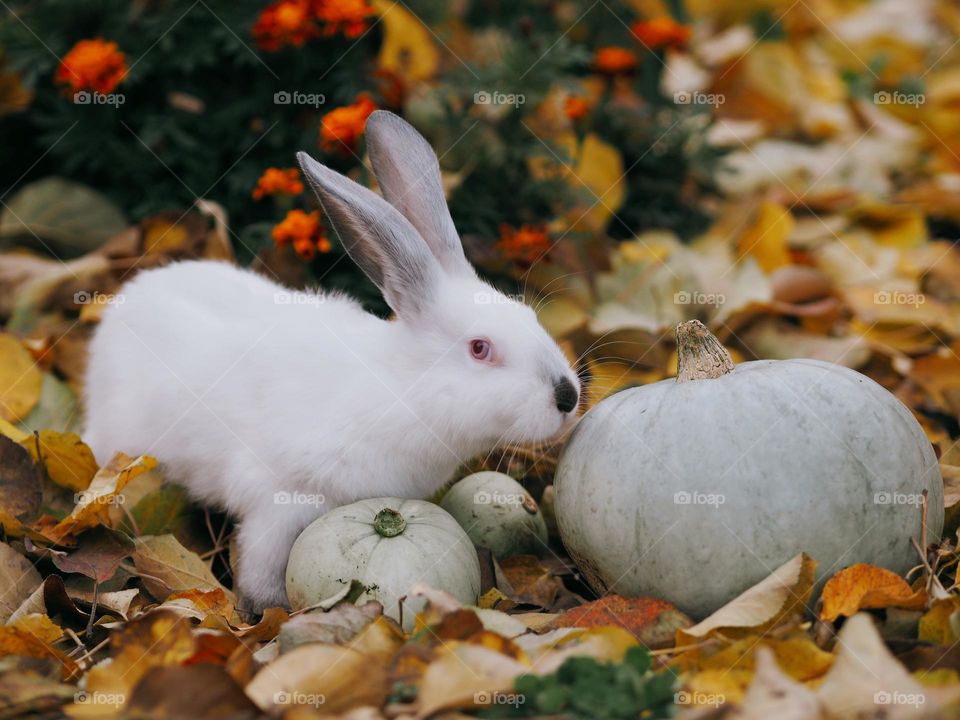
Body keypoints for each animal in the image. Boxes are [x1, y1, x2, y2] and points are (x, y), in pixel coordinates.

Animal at [84, 109, 576, 612]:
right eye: (480, 348)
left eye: (528, 314)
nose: (567, 397)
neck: (401, 388)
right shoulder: (278, 500)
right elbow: (261, 560)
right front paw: (267, 606)